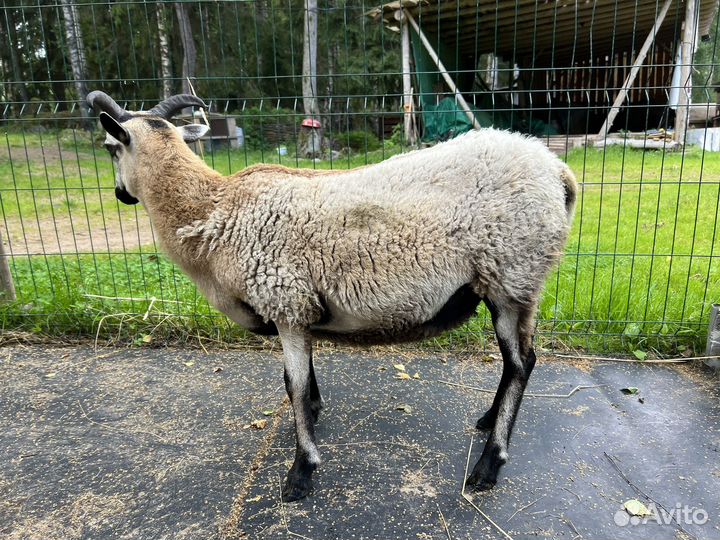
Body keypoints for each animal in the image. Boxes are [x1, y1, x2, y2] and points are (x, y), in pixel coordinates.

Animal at [87, 91, 578, 502]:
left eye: (111, 148)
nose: (119, 194)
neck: (212, 210)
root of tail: (558, 172)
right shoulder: (298, 309)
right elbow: (300, 381)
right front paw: (314, 416)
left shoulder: (284, 300)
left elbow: (295, 386)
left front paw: (301, 471)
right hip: (511, 283)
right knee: (517, 361)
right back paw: (489, 421)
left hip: (512, 274)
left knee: (519, 364)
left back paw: (489, 465)